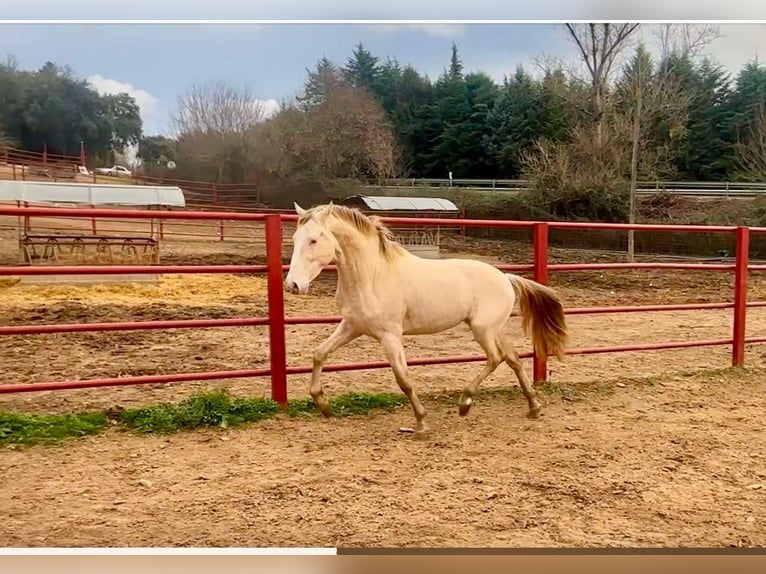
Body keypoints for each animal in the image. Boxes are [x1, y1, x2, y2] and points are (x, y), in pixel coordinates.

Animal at [284, 200, 568, 438]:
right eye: (296, 238)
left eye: (313, 240)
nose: (293, 285)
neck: (372, 276)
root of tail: (506, 277)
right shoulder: (352, 326)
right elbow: (319, 354)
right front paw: (323, 404)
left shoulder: (390, 336)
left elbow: (403, 379)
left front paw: (421, 423)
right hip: (494, 330)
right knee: (513, 359)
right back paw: (533, 407)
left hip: (482, 330)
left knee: (495, 358)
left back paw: (465, 403)